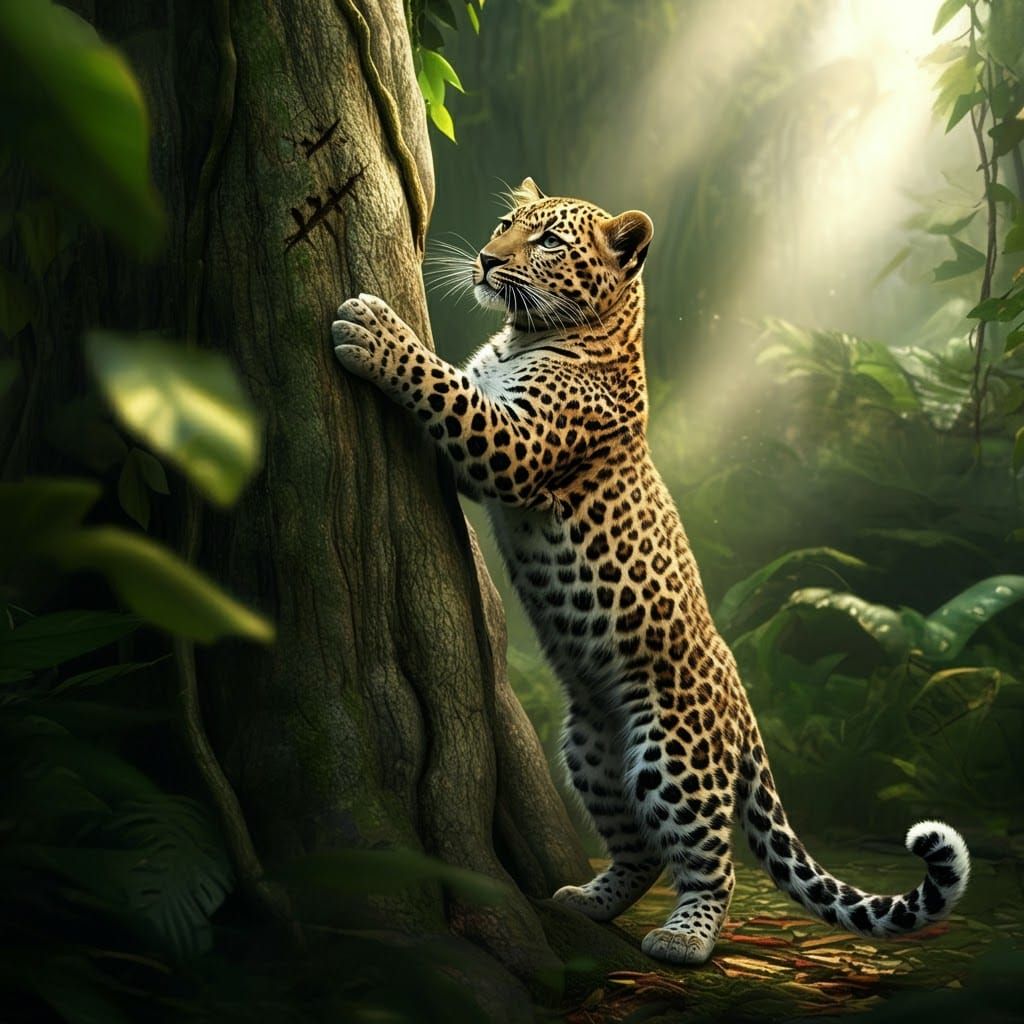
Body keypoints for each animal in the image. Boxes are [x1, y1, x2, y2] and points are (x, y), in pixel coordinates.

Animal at [331, 177, 971, 965]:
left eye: (549, 242)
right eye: (507, 222)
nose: (485, 259)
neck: (525, 335)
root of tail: (745, 709)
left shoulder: (513, 446)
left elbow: (443, 386)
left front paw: (373, 329)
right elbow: (457, 386)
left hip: (673, 755)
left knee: (709, 860)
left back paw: (684, 938)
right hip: (593, 747)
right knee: (637, 852)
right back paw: (589, 900)